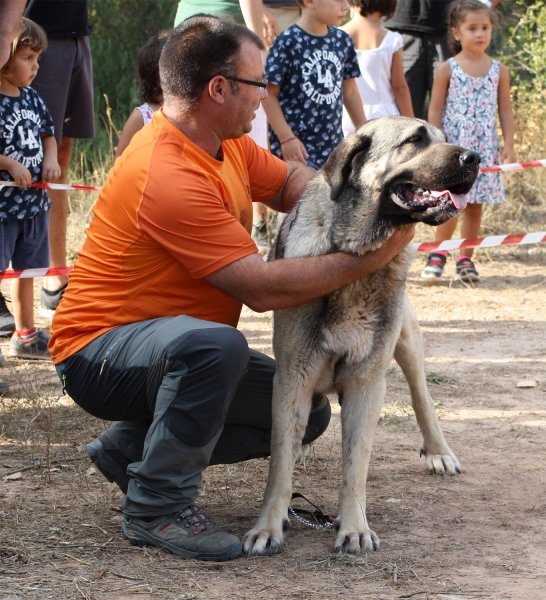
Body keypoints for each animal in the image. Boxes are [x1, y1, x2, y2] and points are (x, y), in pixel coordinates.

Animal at [242, 117, 476, 556]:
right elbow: (279, 464)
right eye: (414, 139)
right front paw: (268, 527)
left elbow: (356, 465)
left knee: (422, 397)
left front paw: (353, 528)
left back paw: (439, 451)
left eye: (443, 137)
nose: (476, 157)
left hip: (407, 341)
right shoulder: (292, 378)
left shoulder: (367, 384)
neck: (354, 258)